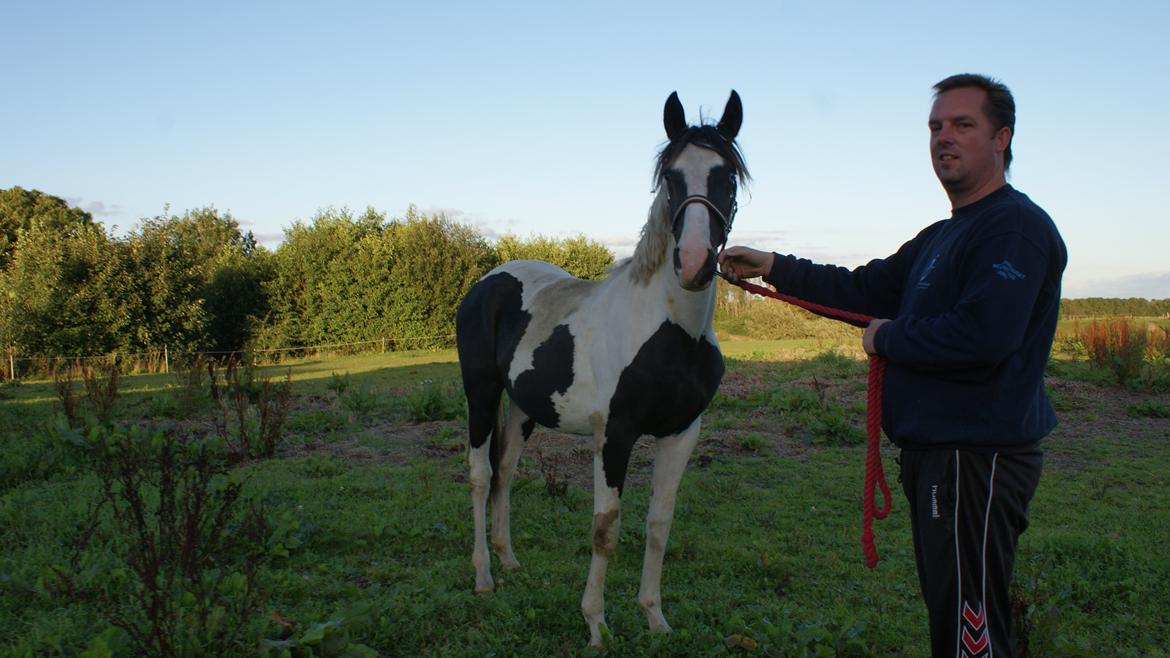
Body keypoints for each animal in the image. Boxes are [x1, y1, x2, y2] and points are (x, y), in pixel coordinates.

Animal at [456, 89, 748, 641]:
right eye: (670, 177)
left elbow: (659, 524)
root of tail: (489, 281)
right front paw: (596, 624)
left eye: (729, 177)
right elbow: (605, 527)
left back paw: (509, 561)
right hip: (480, 394)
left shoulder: (682, 433)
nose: (693, 262)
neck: (667, 329)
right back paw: (482, 576)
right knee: (481, 474)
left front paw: (655, 617)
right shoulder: (614, 435)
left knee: (506, 471)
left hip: (524, 408)